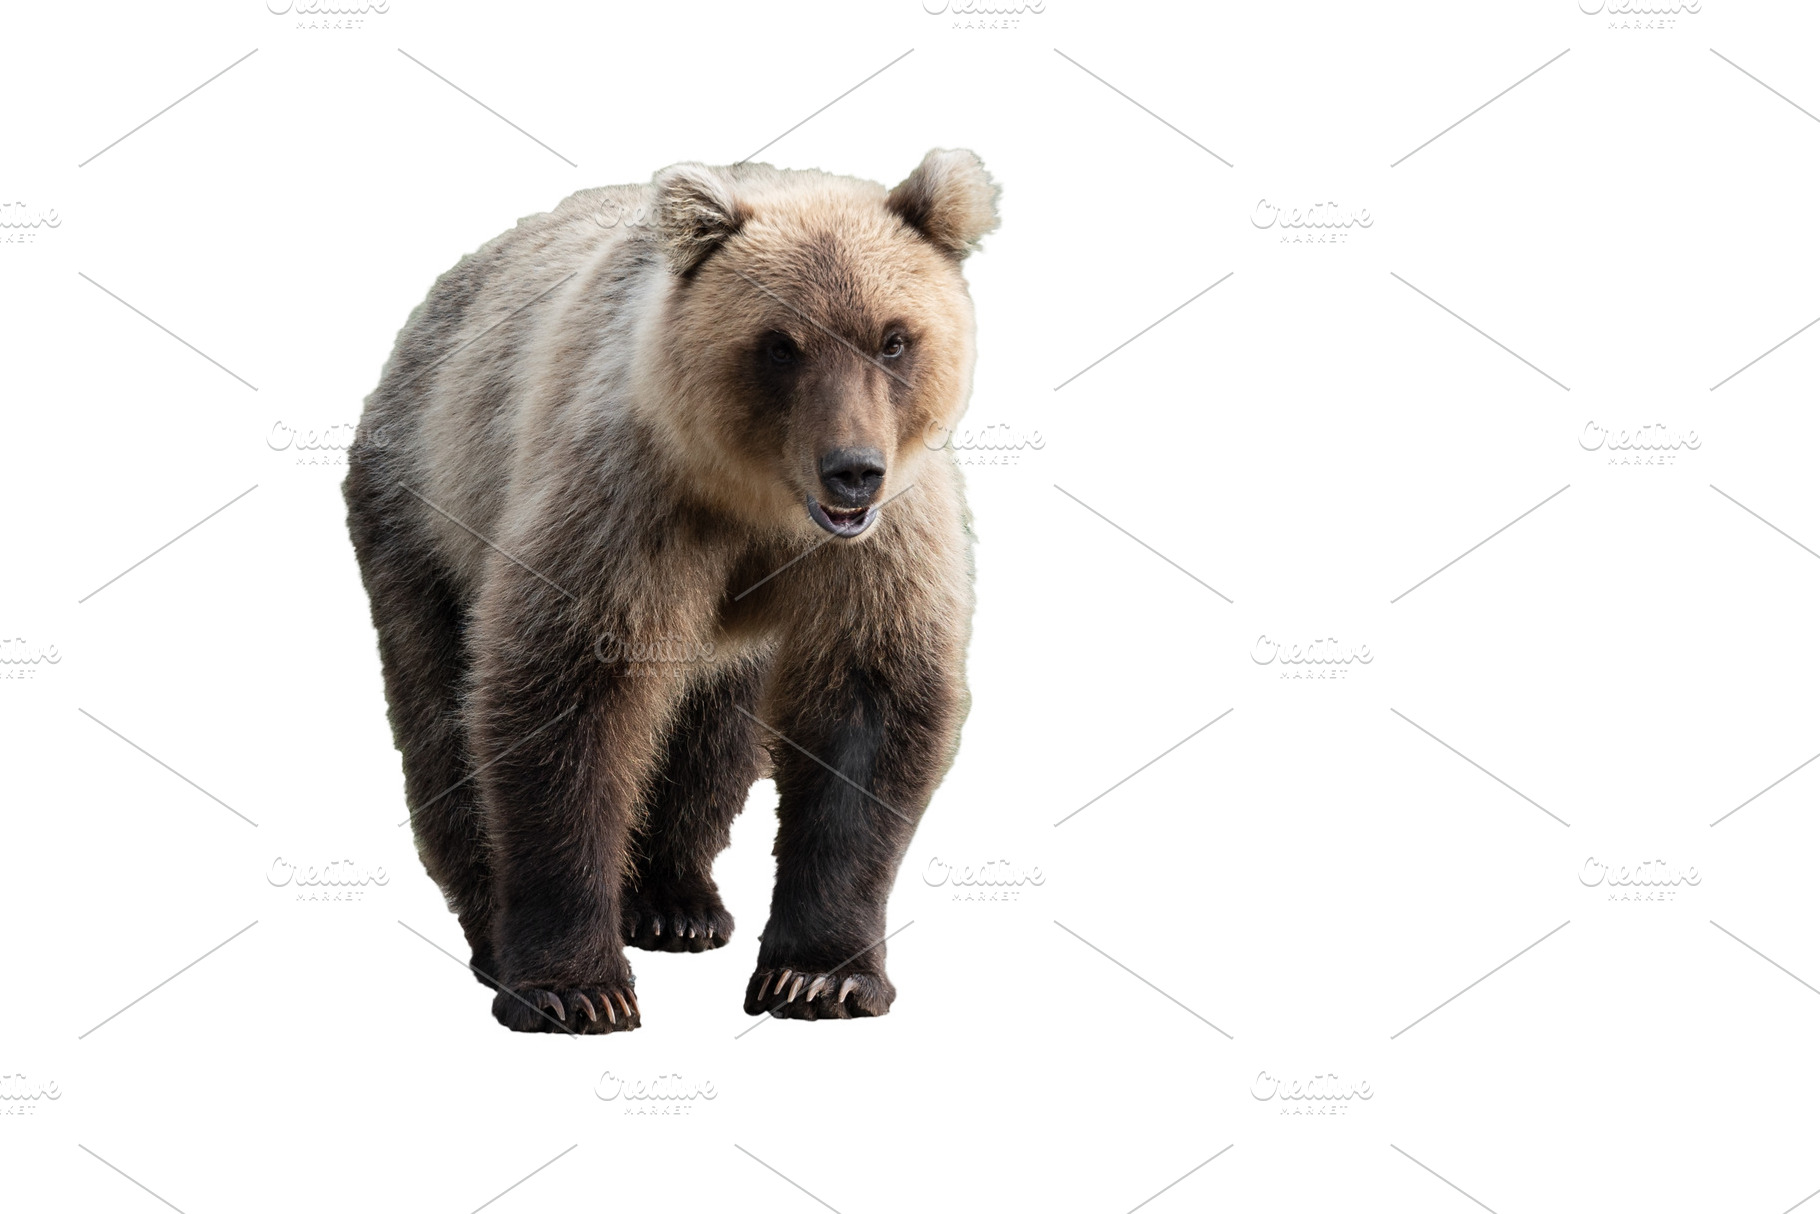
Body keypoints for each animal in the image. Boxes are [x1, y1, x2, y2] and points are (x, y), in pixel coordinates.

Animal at [342, 150, 996, 1033]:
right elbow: (566, 701)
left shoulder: (882, 545)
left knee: (712, 731)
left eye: (893, 339)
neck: (758, 502)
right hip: (426, 514)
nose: (853, 470)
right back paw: (492, 933)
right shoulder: (626, 503)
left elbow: (868, 708)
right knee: (440, 714)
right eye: (780, 345)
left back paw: (676, 903)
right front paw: (575, 988)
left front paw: (818, 977)